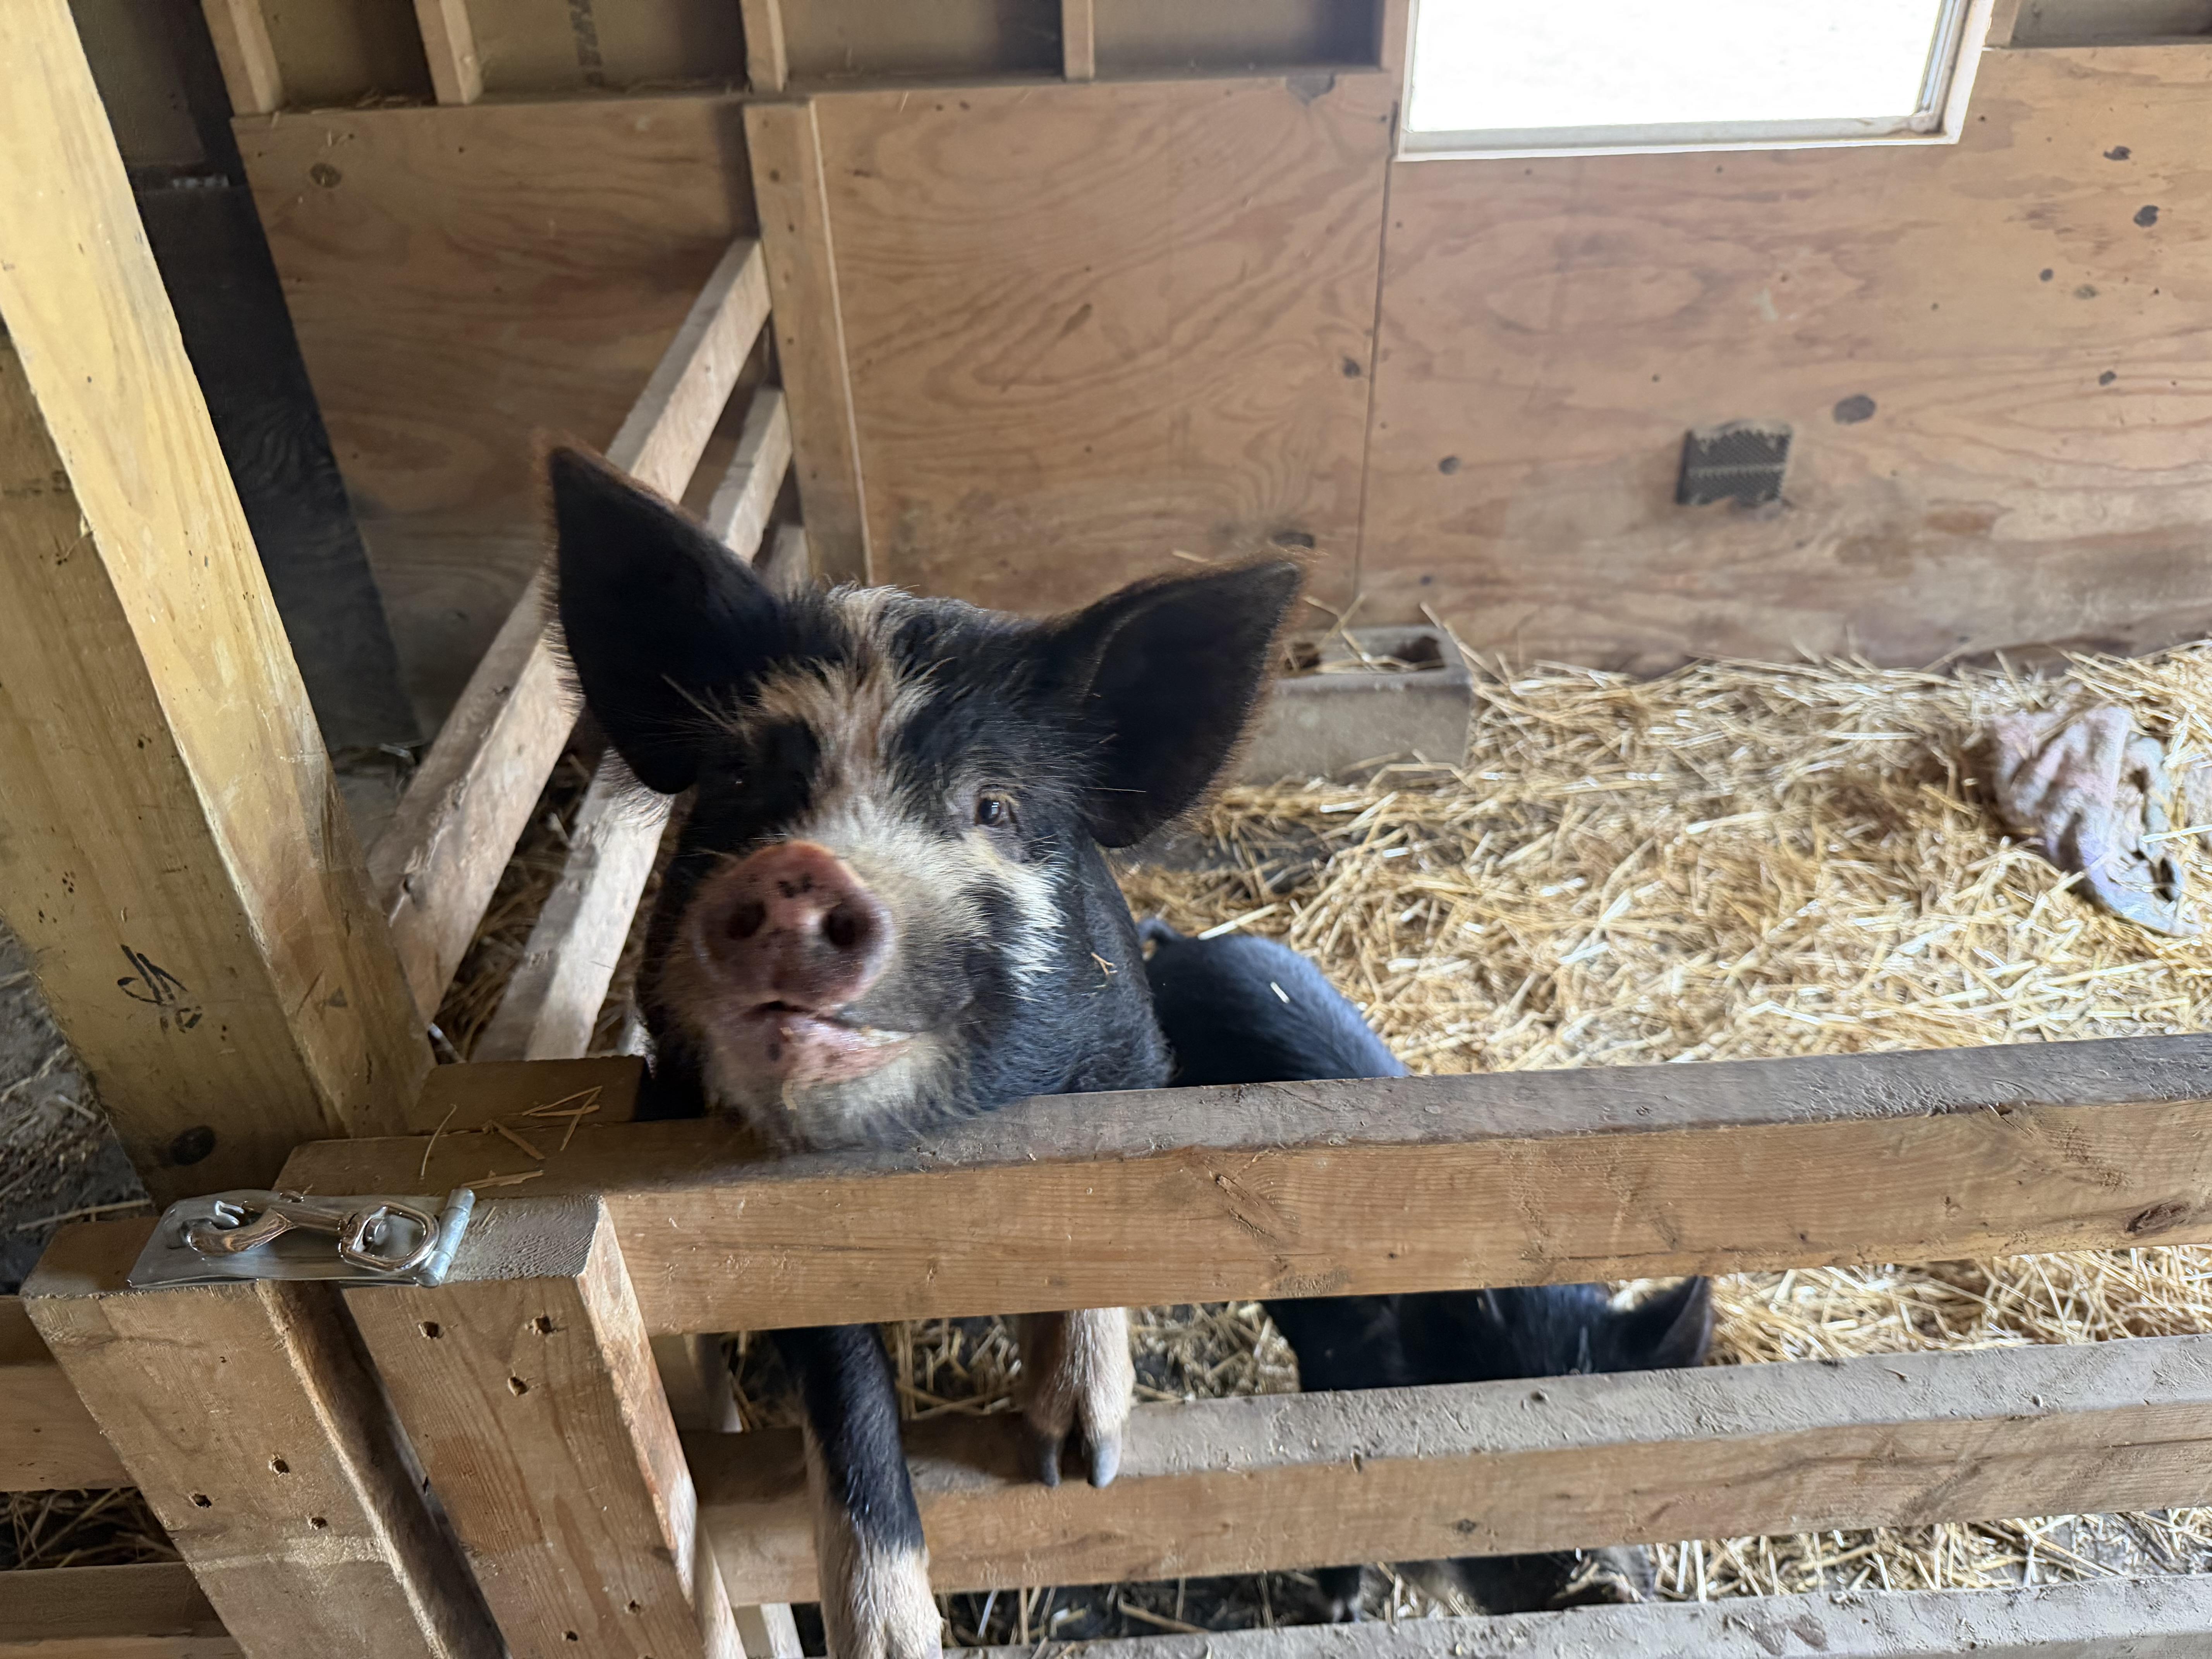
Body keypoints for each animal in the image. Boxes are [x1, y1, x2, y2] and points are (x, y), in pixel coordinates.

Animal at [547, 444, 1303, 1659]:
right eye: (744, 780)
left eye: (992, 803)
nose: (802, 870)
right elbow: (848, 1407)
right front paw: (892, 1641)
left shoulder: (1134, 1062)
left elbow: (1100, 1254)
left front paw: (1074, 1464)